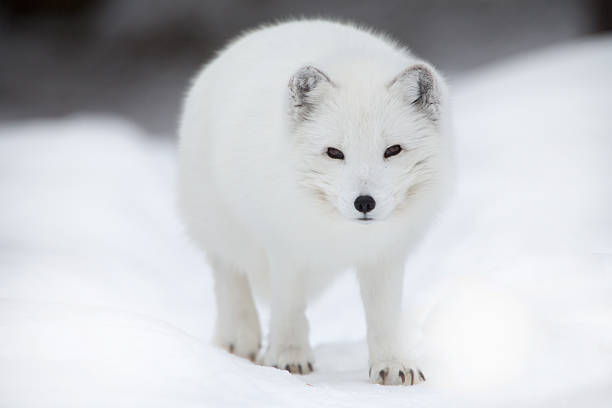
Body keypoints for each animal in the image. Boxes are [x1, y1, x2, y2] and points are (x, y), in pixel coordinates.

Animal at [177, 19, 450, 384]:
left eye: (393, 150)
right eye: (334, 152)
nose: (365, 203)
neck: (338, 233)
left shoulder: (385, 255)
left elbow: (385, 316)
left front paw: (393, 365)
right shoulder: (285, 247)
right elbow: (289, 306)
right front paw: (288, 358)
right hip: (221, 225)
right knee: (229, 275)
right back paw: (239, 341)